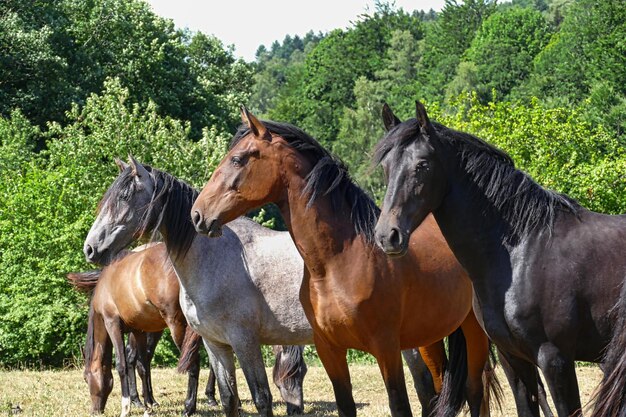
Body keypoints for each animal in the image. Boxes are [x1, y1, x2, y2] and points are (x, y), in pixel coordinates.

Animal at [65, 242, 212, 414]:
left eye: (86, 377)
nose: (94, 411)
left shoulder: (112, 323)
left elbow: (121, 364)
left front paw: (126, 407)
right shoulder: (138, 330)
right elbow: (142, 365)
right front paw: (147, 404)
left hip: (178, 326)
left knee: (193, 362)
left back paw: (189, 407)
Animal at [83, 157, 434, 416]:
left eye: (124, 197)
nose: (90, 248)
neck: (214, 259)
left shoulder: (245, 342)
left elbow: (261, 397)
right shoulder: (216, 344)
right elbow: (229, 399)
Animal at [190, 108, 502, 416]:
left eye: (237, 159)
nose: (198, 214)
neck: (337, 264)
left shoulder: (387, 349)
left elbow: (399, 404)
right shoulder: (330, 350)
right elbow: (345, 404)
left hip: (472, 332)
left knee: (475, 393)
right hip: (430, 337)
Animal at [370, 101, 624, 416]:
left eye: (422, 165)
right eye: (386, 167)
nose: (387, 236)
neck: (523, 254)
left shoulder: (556, 361)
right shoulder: (513, 360)